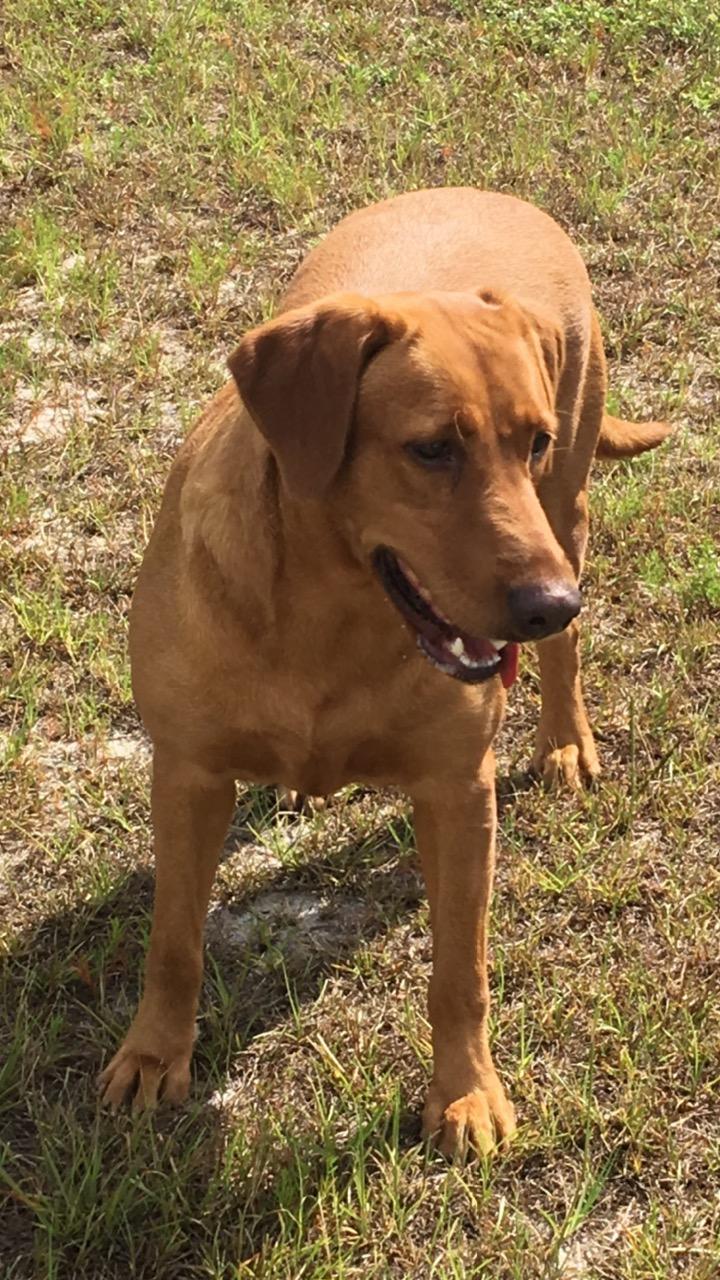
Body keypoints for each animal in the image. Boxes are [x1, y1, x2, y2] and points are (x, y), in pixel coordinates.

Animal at [99, 189, 666, 1162]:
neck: (332, 620)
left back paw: (563, 740)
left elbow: (460, 972)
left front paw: (467, 1094)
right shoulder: (186, 773)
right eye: (432, 449)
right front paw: (152, 1056)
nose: (552, 604)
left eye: (531, 440)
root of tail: (490, 191)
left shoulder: (457, 790)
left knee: (562, 653)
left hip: (569, 503)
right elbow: (173, 942)